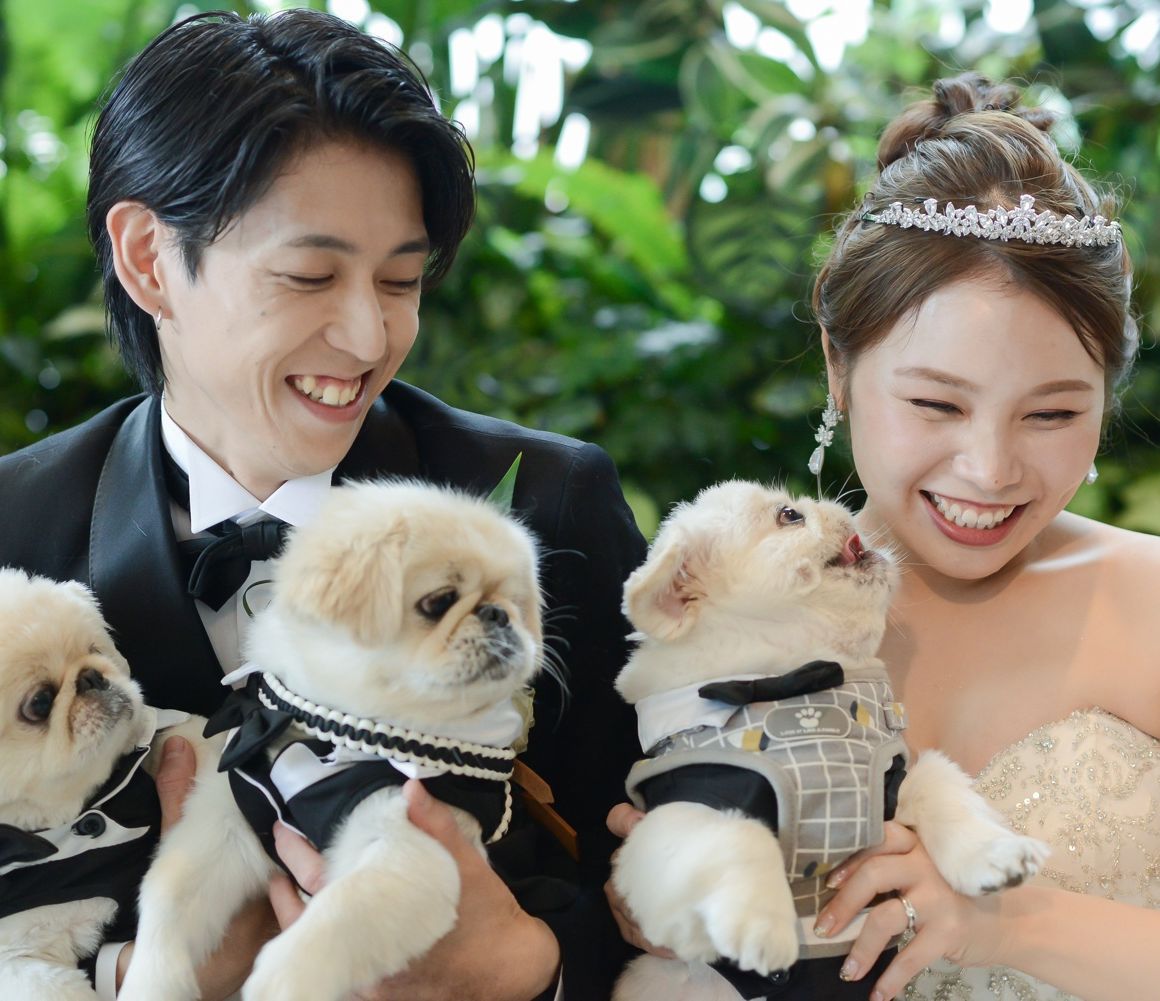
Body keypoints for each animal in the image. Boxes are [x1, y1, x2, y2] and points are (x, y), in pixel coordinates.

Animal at [117, 479, 543, 1001]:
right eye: (439, 601)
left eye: (518, 605)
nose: (500, 615)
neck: (328, 729)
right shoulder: (225, 826)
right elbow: (166, 902)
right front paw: (152, 982)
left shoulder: (413, 850)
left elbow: (332, 925)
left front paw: (275, 983)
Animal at [609, 481, 1050, 1000]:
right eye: (789, 515)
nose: (834, 505)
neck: (797, 683)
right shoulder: (680, 808)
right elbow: (739, 836)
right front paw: (764, 928)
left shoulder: (888, 782)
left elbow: (946, 796)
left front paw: (995, 856)